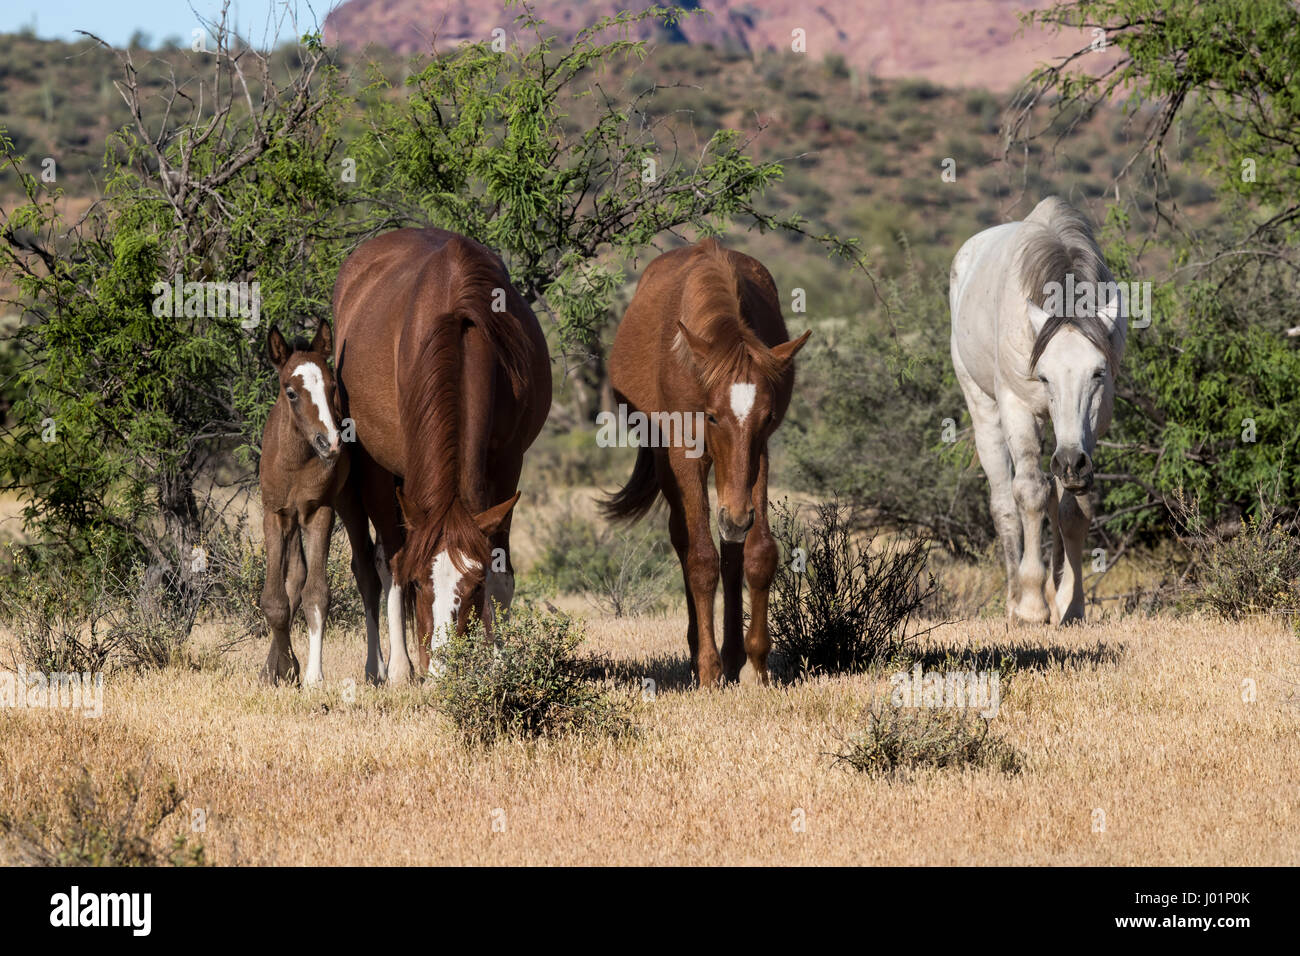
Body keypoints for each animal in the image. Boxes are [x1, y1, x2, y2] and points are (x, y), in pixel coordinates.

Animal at [332, 228, 551, 681]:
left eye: (475, 587)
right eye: (420, 584)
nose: (443, 670)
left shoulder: (508, 463)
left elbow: (501, 569)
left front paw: (499, 663)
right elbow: (396, 562)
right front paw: (402, 668)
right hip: (369, 470)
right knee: (374, 565)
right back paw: (383, 667)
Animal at [603, 238, 806, 686]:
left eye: (767, 417)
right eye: (713, 416)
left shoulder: (757, 457)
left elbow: (758, 552)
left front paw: (758, 664)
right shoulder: (685, 456)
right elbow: (700, 558)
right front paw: (709, 670)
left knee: (731, 549)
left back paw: (733, 654)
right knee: (685, 541)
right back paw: (703, 651)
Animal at [946, 197, 1128, 624]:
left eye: (1098, 373)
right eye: (1043, 376)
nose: (1072, 461)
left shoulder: (1088, 433)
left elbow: (1073, 508)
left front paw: (1071, 604)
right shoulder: (1017, 408)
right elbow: (1028, 492)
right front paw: (1032, 605)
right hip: (985, 411)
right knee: (1004, 502)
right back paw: (1015, 599)